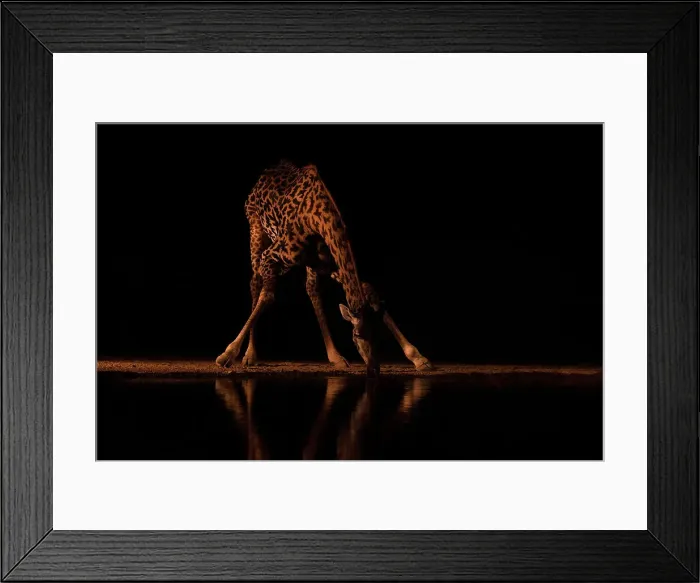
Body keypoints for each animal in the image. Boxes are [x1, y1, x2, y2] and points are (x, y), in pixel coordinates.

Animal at [215, 159, 433, 377]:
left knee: (312, 290)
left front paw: (419, 358)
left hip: (307, 261)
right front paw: (227, 355)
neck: (320, 219)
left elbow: (368, 290)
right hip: (256, 229)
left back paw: (335, 356)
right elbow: (267, 296)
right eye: (357, 335)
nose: (373, 370)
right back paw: (250, 355)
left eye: (380, 337)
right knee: (255, 282)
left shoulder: (327, 263)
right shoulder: (270, 256)